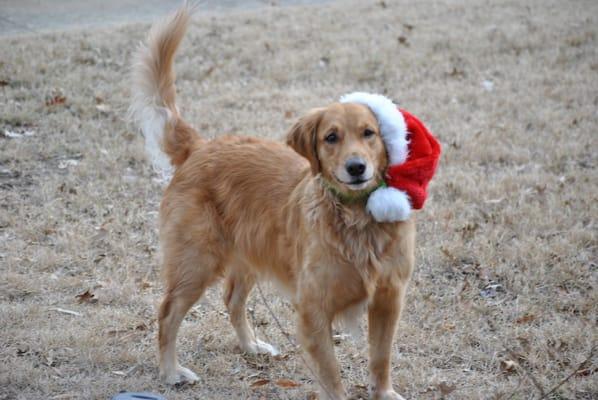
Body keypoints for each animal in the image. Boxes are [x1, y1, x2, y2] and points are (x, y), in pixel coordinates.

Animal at [129, 3, 414, 400]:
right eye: (331, 137)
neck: (356, 219)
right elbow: (332, 374)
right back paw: (171, 372)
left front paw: (384, 393)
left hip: (247, 252)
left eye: (369, 133)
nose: (356, 167)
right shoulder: (313, 310)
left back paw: (250, 346)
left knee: (232, 300)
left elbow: (381, 358)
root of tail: (201, 147)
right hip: (196, 262)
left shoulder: (389, 298)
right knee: (167, 313)